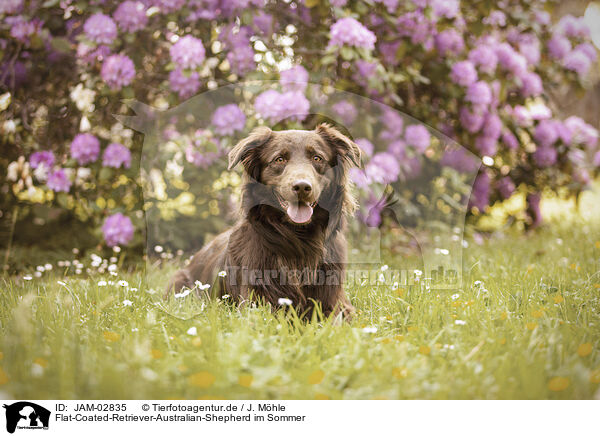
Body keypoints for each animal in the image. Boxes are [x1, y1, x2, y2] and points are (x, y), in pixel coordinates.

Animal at [165, 124, 360, 318]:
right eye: (279, 159)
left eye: (317, 158)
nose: (302, 187)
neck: (298, 238)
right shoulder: (257, 304)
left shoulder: (335, 304)